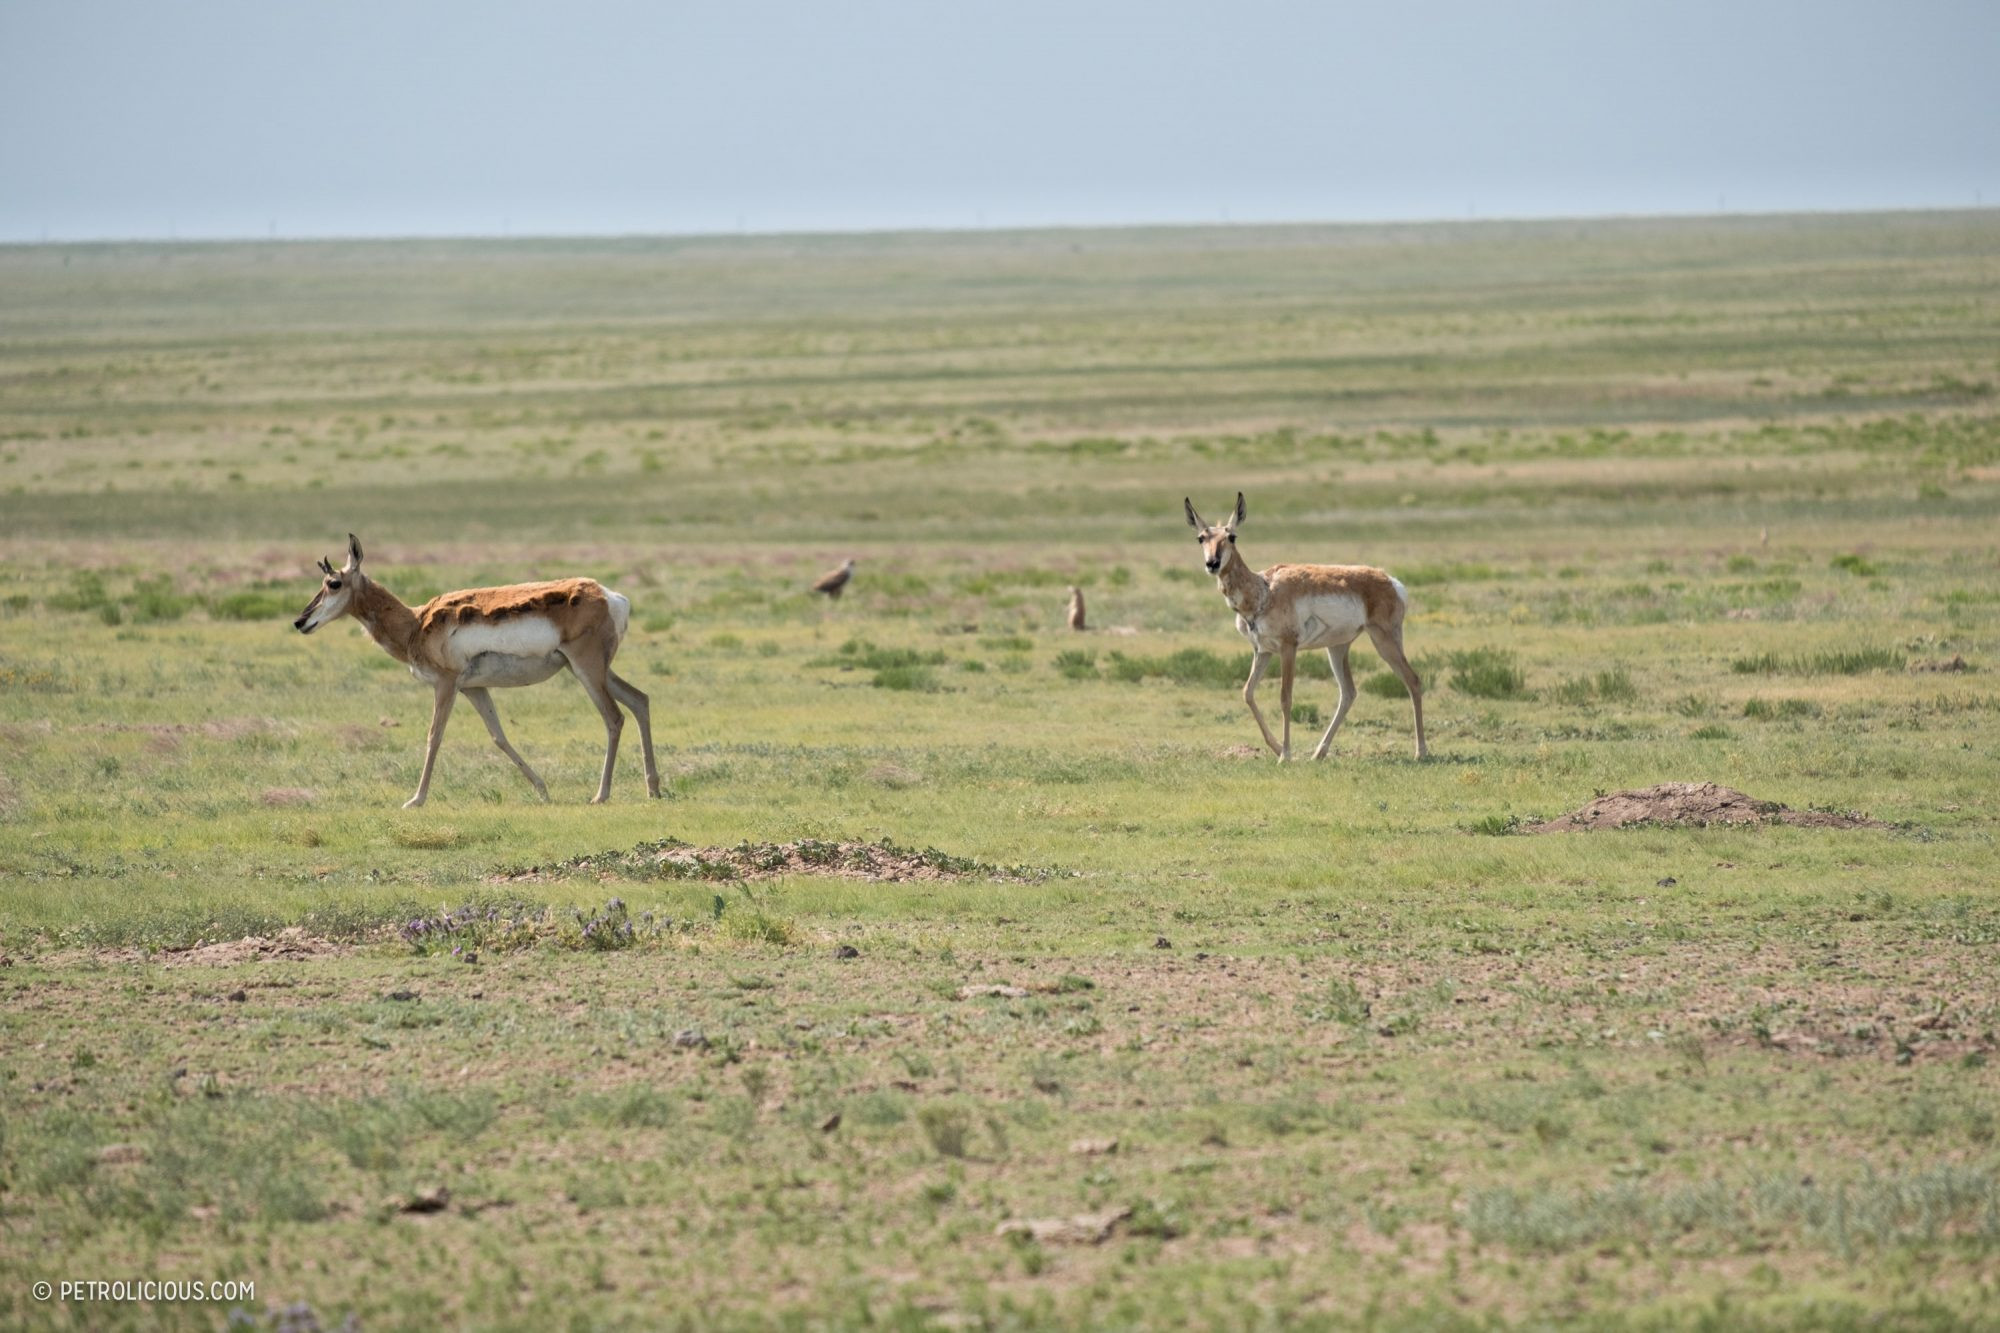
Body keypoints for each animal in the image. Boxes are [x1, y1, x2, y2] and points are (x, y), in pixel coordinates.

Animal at [292, 532, 660, 804]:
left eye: (333, 583)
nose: (300, 621)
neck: (415, 623)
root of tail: (611, 596)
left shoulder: (446, 685)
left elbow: (434, 736)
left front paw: (415, 800)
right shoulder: (474, 688)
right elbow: (499, 736)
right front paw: (543, 790)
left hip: (587, 669)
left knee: (614, 717)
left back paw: (601, 795)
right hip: (590, 669)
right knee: (640, 700)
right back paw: (653, 789)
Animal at [1176, 490, 1432, 764]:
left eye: (1231, 536)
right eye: (1201, 538)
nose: (1212, 563)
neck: (1263, 590)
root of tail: (1391, 581)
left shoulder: (1289, 648)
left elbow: (1285, 697)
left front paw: (1285, 755)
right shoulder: (1263, 651)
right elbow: (1248, 692)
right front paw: (1277, 747)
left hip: (1384, 640)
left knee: (1413, 680)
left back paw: (1421, 752)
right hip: (1338, 647)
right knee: (1348, 692)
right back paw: (1318, 753)